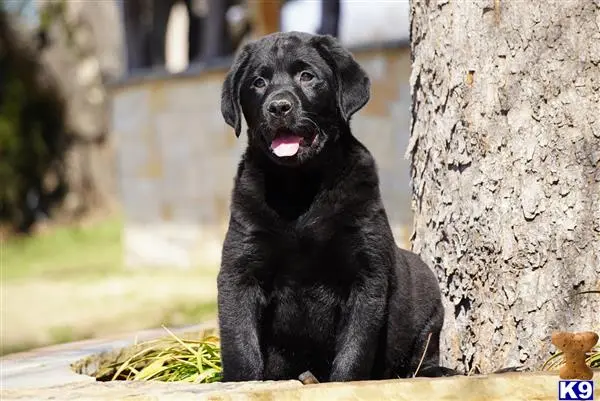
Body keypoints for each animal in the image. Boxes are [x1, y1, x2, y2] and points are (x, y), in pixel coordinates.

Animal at [216, 31, 454, 382]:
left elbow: (353, 352)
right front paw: (242, 382)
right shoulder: (240, 271)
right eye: (258, 82)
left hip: (428, 309)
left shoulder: (366, 276)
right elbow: (240, 345)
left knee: (423, 355)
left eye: (307, 76)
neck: (298, 187)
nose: (279, 107)